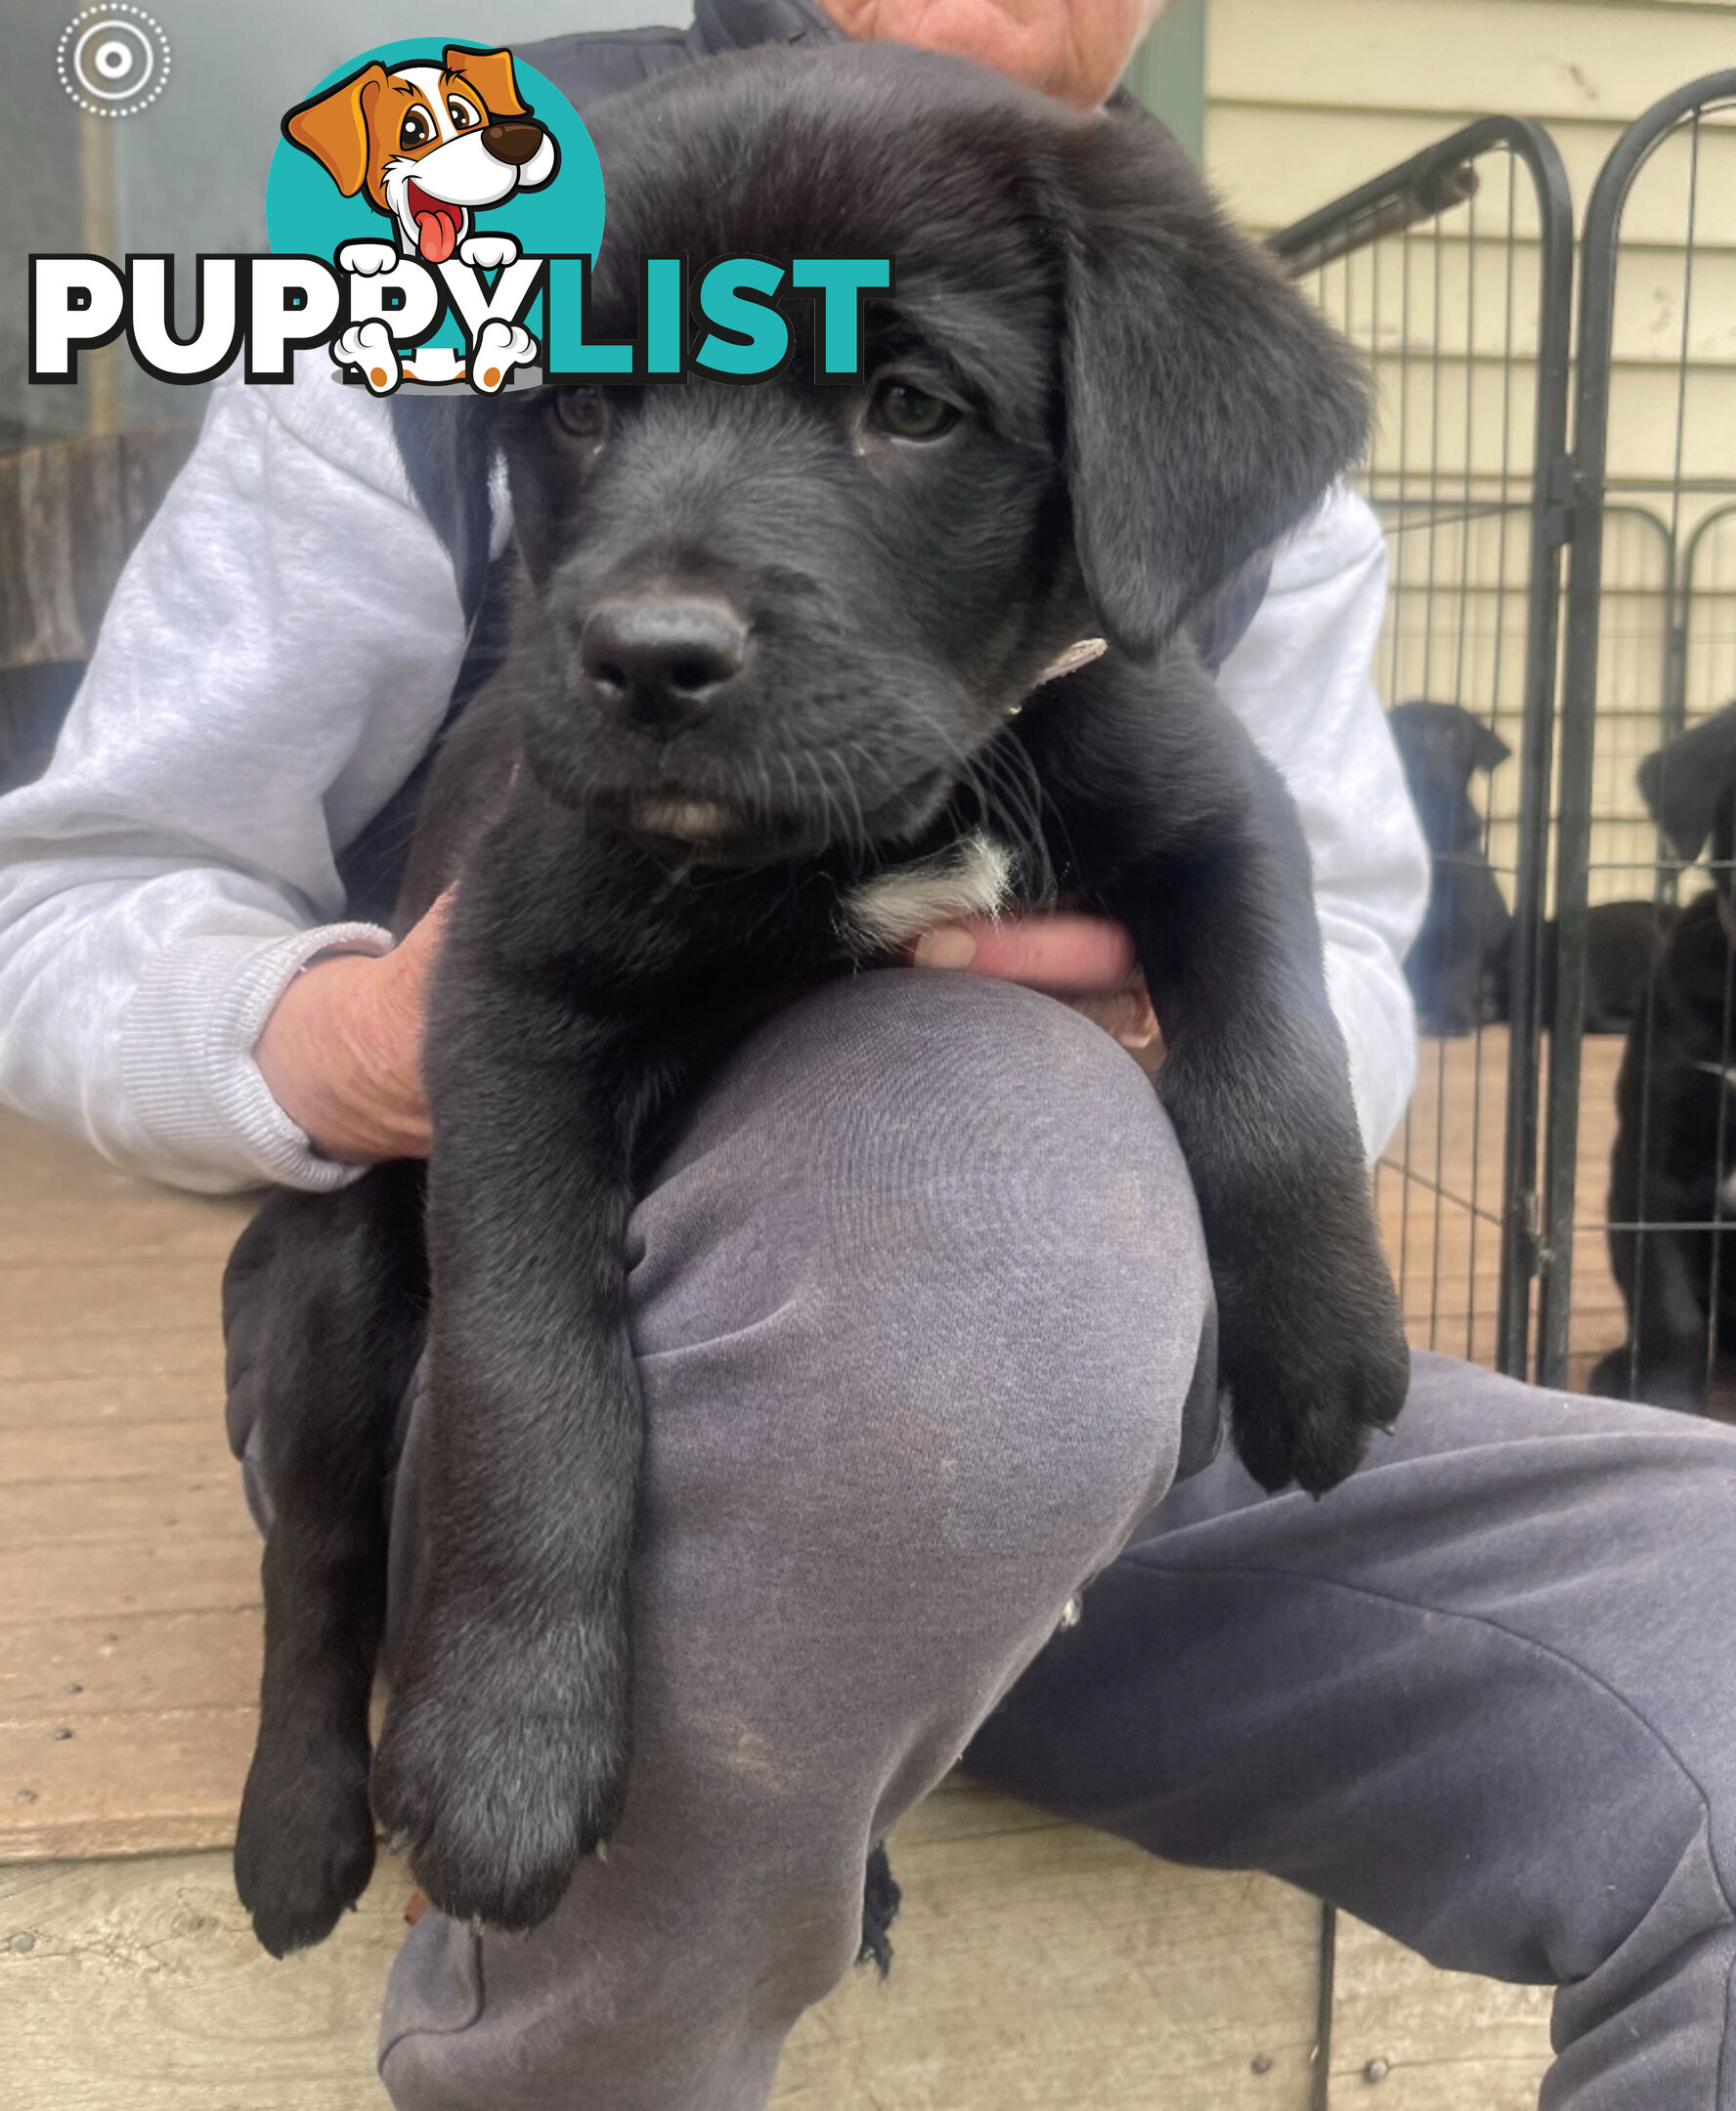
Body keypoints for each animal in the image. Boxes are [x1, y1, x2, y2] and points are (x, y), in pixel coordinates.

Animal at [220, 45, 1410, 1959]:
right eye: (573, 415)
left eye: (912, 407)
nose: (643, 662)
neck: (900, 805)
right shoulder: (505, 1006)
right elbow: (527, 1382)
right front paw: (503, 1753)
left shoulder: (1215, 803)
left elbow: (1279, 1051)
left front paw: (1315, 1338)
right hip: (333, 1285)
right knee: (314, 1562)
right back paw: (301, 1821)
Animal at [1393, 705, 1511, 1034]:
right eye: (1403, 727)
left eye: (1452, 732)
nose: (1425, 746)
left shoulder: (1464, 924)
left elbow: (1455, 975)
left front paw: (1452, 1020)